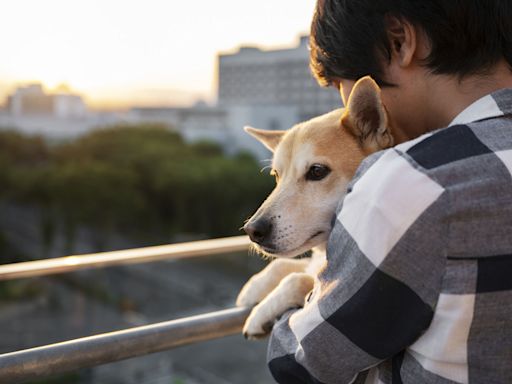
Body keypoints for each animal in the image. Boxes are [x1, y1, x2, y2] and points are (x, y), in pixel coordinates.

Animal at [236, 76, 396, 340]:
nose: (253, 230)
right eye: (276, 175)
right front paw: (254, 287)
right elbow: (285, 264)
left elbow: (297, 280)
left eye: (317, 171)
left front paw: (262, 311)